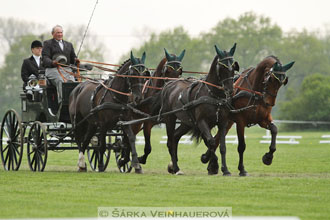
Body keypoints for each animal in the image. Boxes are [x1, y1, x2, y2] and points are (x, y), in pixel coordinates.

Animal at [159, 43, 238, 174]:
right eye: (222, 68)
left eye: (233, 67)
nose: (230, 90)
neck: (214, 95)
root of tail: (169, 84)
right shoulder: (201, 122)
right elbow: (210, 141)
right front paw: (208, 160)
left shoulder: (222, 123)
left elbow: (221, 146)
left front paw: (224, 169)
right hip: (169, 118)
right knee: (170, 142)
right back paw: (176, 168)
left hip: (187, 122)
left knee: (175, 137)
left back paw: (175, 166)